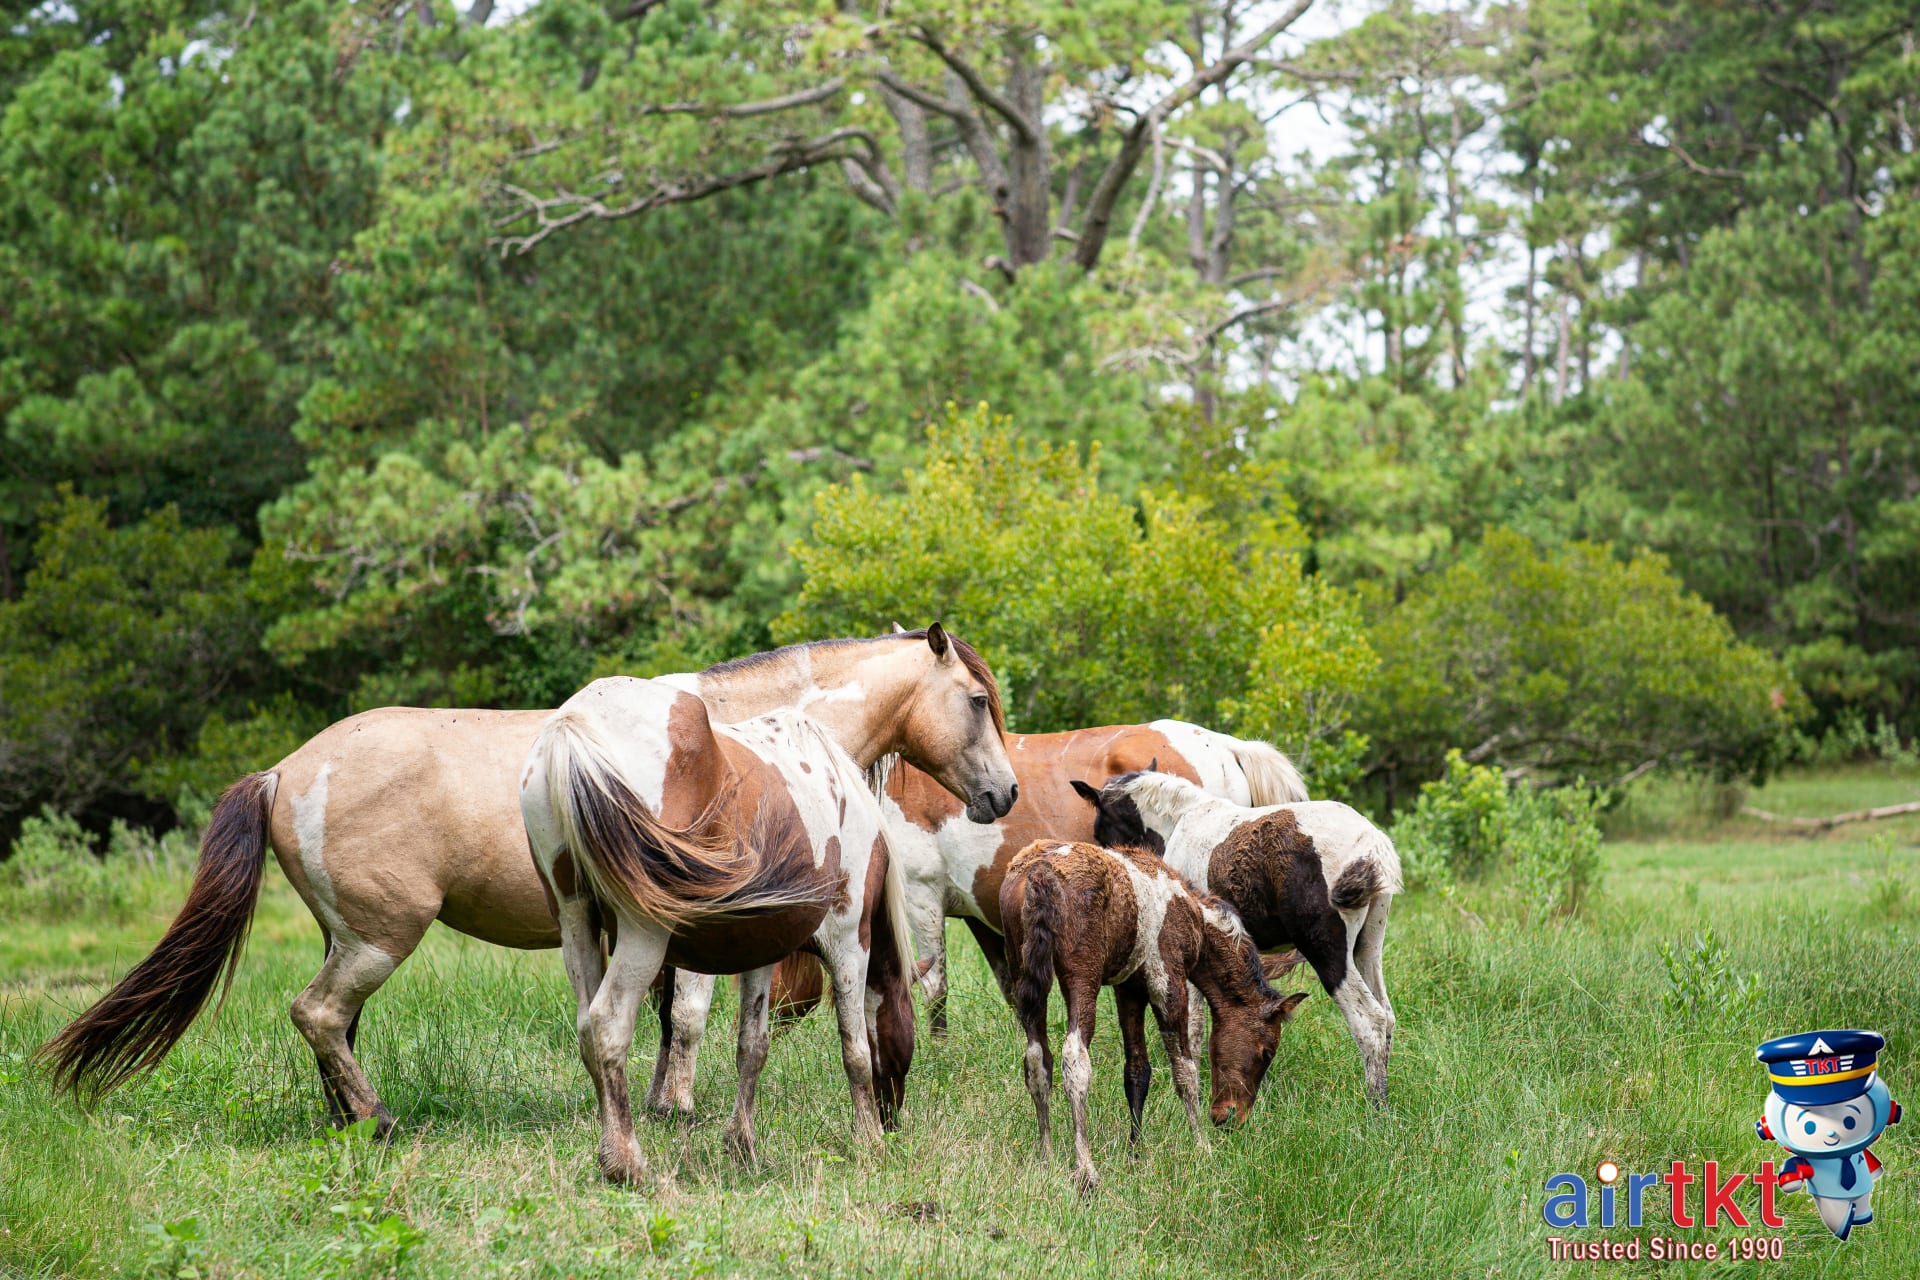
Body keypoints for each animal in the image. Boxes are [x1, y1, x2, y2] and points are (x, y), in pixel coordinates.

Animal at [38, 627, 1015, 1136]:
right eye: (977, 701)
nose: (1003, 794)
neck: (748, 736)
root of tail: (284, 771)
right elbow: (689, 1020)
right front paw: (674, 1109)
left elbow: (659, 1020)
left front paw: (649, 1105)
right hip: (381, 936)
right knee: (317, 1015)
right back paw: (379, 1120)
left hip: (348, 938)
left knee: (333, 1024)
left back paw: (348, 1120)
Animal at [641, 721, 1307, 1117]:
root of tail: (1225, 746)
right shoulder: (992, 921)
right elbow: (1014, 992)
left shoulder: (918, 896)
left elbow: (931, 981)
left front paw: (934, 1050)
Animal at [999, 839, 1308, 1193]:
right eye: (1267, 1052)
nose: (1230, 1119)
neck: (1193, 916)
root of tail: (1041, 870)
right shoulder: (1167, 983)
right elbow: (1185, 1071)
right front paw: (1202, 1146)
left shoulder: (1129, 989)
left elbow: (1137, 1071)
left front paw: (1135, 1155)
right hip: (1081, 977)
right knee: (1074, 1059)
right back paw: (1086, 1171)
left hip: (1024, 975)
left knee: (1038, 1060)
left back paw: (1046, 1158)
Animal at [1076, 770, 1400, 1104]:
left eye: (1101, 826)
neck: (1181, 818)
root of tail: (1372, 842)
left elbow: (1192, 1023)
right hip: (1366, 947)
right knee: (1387, 1016)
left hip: (1326, 950)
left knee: (1370, 1020)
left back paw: (1375, 1105)